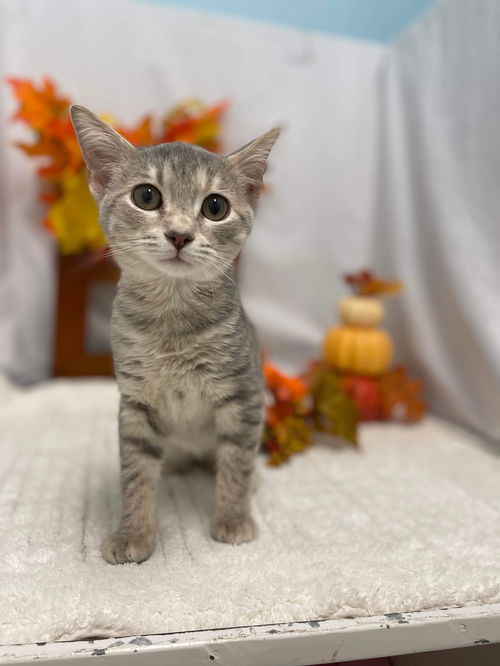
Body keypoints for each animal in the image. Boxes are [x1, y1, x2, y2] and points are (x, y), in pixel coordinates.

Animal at [70, 102, 280, 560]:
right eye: (146, 196)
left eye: (216, 206)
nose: (180, 234)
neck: (172, 323)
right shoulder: (135, 402)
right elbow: (135, 473)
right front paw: (134, 533)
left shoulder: (242, 394)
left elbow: (236, 462)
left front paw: (232, 518)